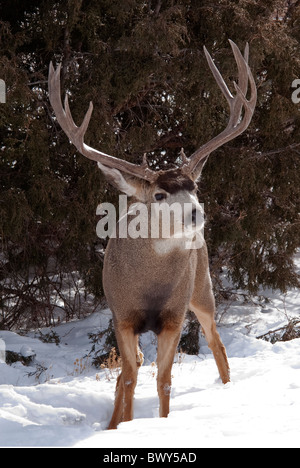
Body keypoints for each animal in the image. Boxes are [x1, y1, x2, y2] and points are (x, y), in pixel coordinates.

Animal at [48, 39, 256, 428]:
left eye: (194, 187)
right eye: (159, 194)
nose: (196, 212)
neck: (150, 286)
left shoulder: (173, 316)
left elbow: (164, 380)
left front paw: (160, 424)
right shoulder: (121, 314)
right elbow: (130, 376)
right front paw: (123, 426)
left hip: (202, 285)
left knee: (216, 340)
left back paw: (228, 389)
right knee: (128, 372)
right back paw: (114, 420)